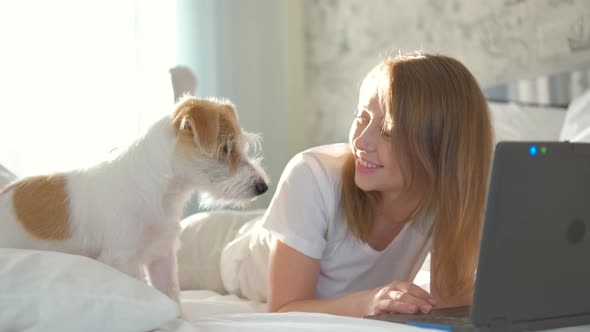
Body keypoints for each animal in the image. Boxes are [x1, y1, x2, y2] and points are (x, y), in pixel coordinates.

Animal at [0, 95, 270, 312]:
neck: (163, 193)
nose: (263, 187)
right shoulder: (124, 259)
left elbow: (171, 295)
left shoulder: (162, 257)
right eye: (225, 148)